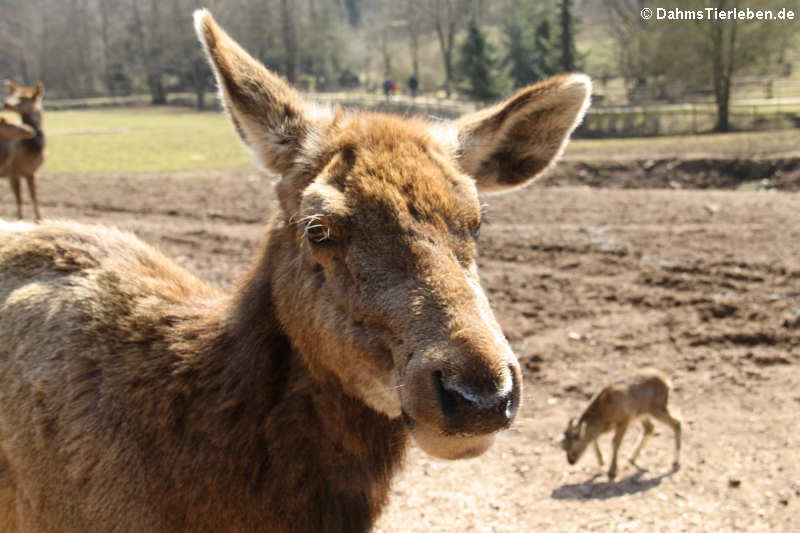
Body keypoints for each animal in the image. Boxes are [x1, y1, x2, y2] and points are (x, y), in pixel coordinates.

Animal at [0, 79, 45, 220]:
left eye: (25, 97)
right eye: (13, 93)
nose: (6, 103)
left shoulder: (31, 172)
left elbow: (34, 197)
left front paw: (39, 220)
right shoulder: (14, 173)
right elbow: (19, 199)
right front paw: (19, 218)